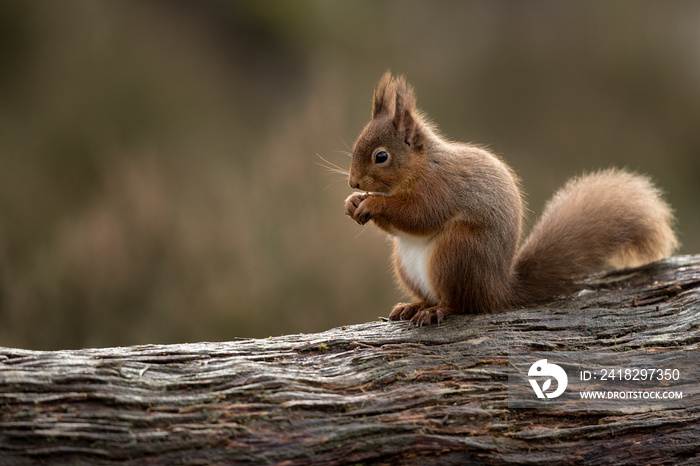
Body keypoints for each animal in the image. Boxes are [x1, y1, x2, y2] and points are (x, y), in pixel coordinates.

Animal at [344, 73, 680, 328]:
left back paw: (436, 311)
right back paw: (413, 306)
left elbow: (419, 215)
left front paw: (372, 204)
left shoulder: (440, 189)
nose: (353, 182)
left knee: (463, 304)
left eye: (381, 157)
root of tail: (498, 289)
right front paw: (352, 202)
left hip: (456, 252)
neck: (422, 167)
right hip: (407, 263)